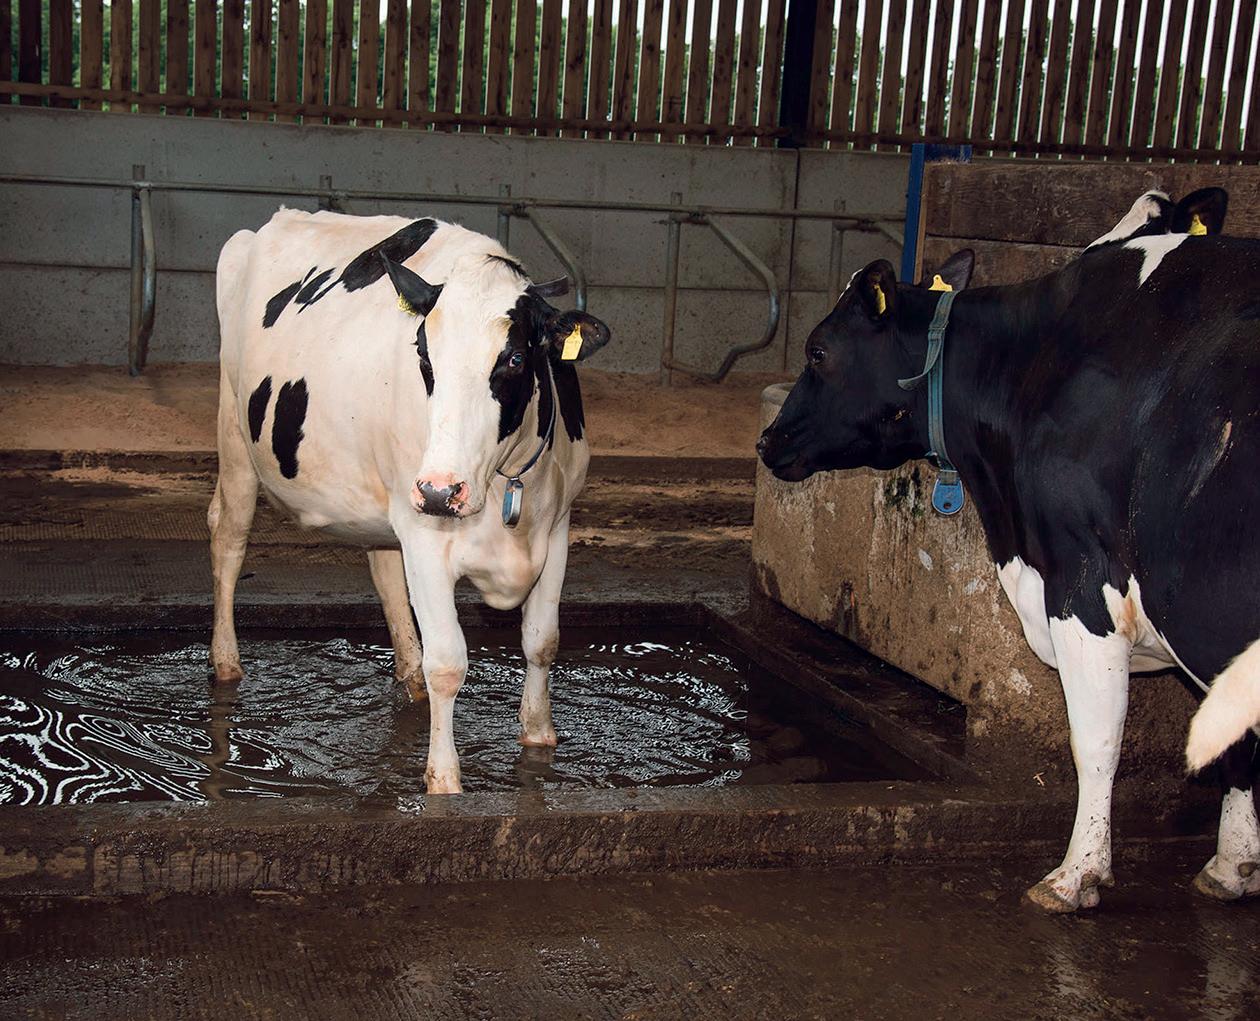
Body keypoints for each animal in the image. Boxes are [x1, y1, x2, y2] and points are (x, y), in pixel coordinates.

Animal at [211, 209, 610, 794]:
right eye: (424, 355)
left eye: (515, 358)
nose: (442, 490)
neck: (506, 483)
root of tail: (280, 218)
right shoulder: (425, 533)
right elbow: (447, 662)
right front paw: (444, 781)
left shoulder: (557, 527)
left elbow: (543, 641)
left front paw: (539, 743)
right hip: (237, 437)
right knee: (228, 539)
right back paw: (226, 666)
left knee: (383, 570)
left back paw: (408, 679)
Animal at [755, 187, 1260, 911]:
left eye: (818, 351)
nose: (767, 440)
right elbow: (1233, 738)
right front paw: (1232, 864)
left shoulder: (1081, 580)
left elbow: (1096, 739)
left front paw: (1076, 874)